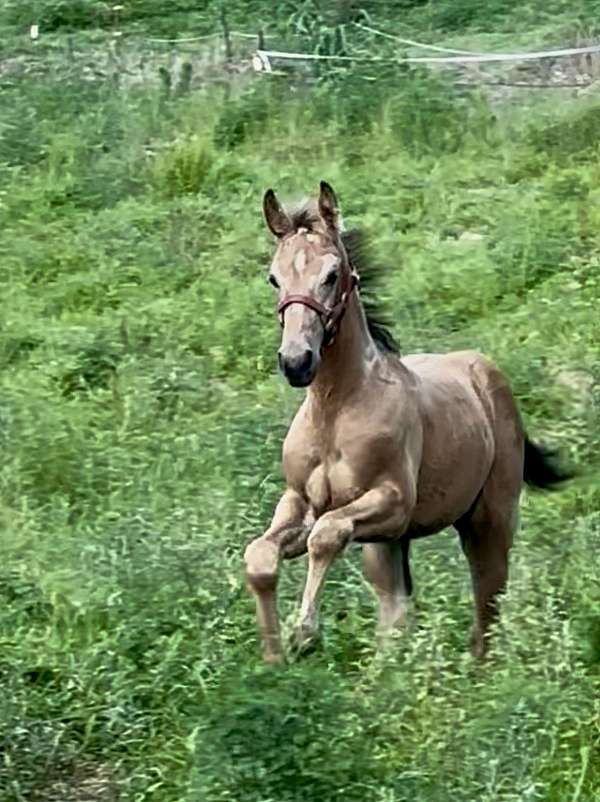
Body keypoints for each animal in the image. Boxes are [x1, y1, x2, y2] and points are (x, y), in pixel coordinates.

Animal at [244, 181, 570, 664]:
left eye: (332, 274)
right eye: (274, 278)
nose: (296, 362)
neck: (334, 412)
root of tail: (485, 372)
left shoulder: (393, 502)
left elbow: (326, 534)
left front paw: (303, 633)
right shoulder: (300, 502)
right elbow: (261, 555)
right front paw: (273, 656)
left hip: (488, 523)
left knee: (486, 609)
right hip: (387, 545)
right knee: (396, 609)